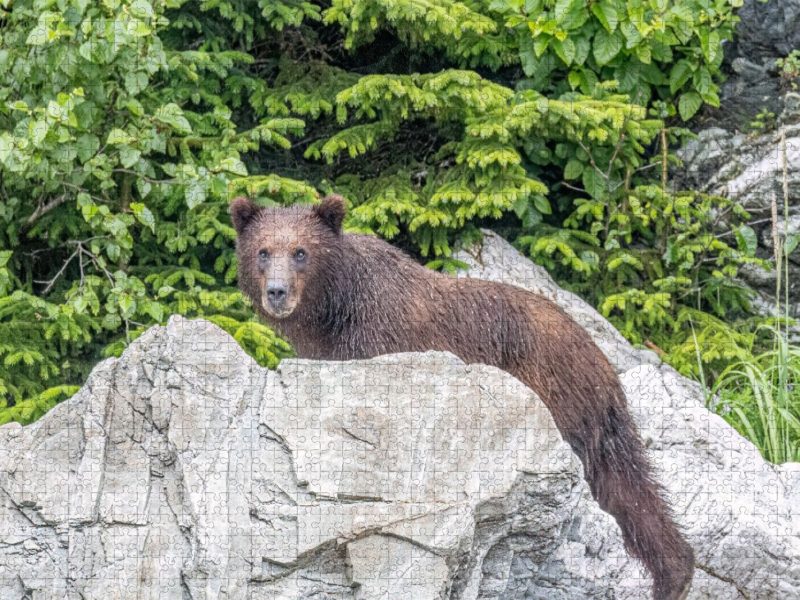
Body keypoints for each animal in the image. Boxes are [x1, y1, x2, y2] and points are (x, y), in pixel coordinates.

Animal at [230, 194, 695, 600]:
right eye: (263, 250)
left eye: (301, 252)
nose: (277, 292)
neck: (333, 311)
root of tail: (603, 363)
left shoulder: (379, 341)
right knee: (629, 491)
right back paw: (676, 572)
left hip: (554, 397)